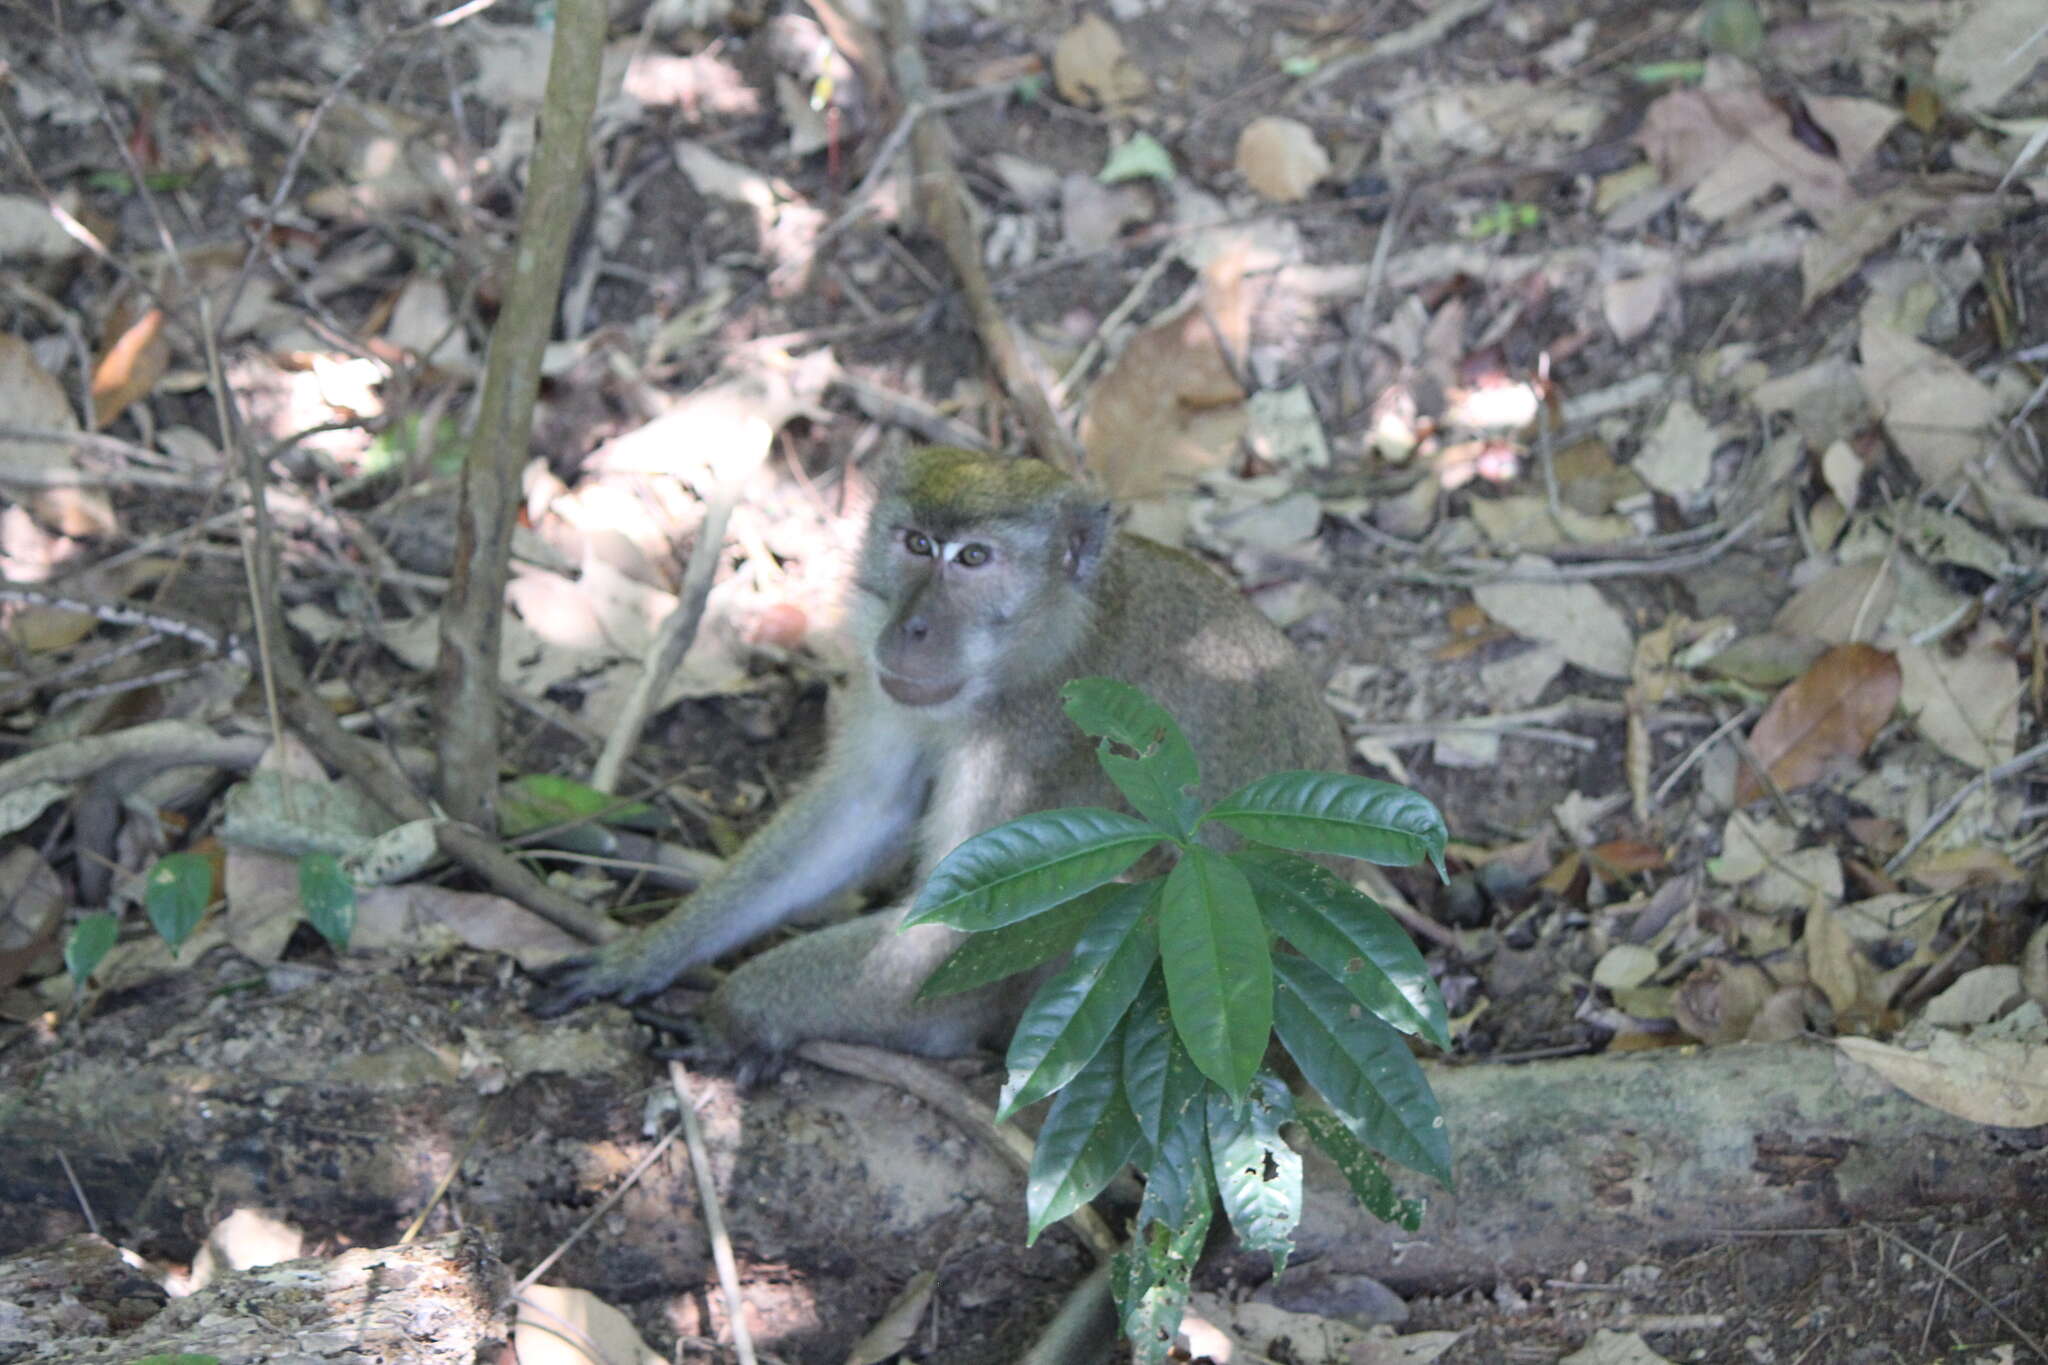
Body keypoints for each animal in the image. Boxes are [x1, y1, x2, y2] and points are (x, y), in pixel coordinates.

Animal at [536, 448, 1351, 1055]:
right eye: (918, 544)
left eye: (975, 557)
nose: (912, 629)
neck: (1046, 650)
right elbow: (864, 810)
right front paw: (653, 951)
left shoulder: (1031, 746)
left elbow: (958, 934)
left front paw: (735, 1011)